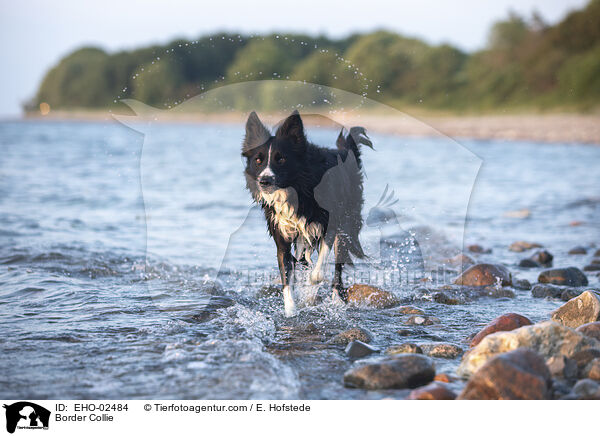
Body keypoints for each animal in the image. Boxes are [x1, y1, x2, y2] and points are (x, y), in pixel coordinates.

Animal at [241, 111, 372, 316]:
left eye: (281, 159)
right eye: (258, 160)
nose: (264, 181)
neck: (297, 188)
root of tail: (345, 152)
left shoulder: (331, 222)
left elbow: (318, 272)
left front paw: (311, 285)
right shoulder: (282, 235)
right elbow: (287, 277)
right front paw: (291, 312)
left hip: (348, 221)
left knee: (337, 264)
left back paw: (335, 298)